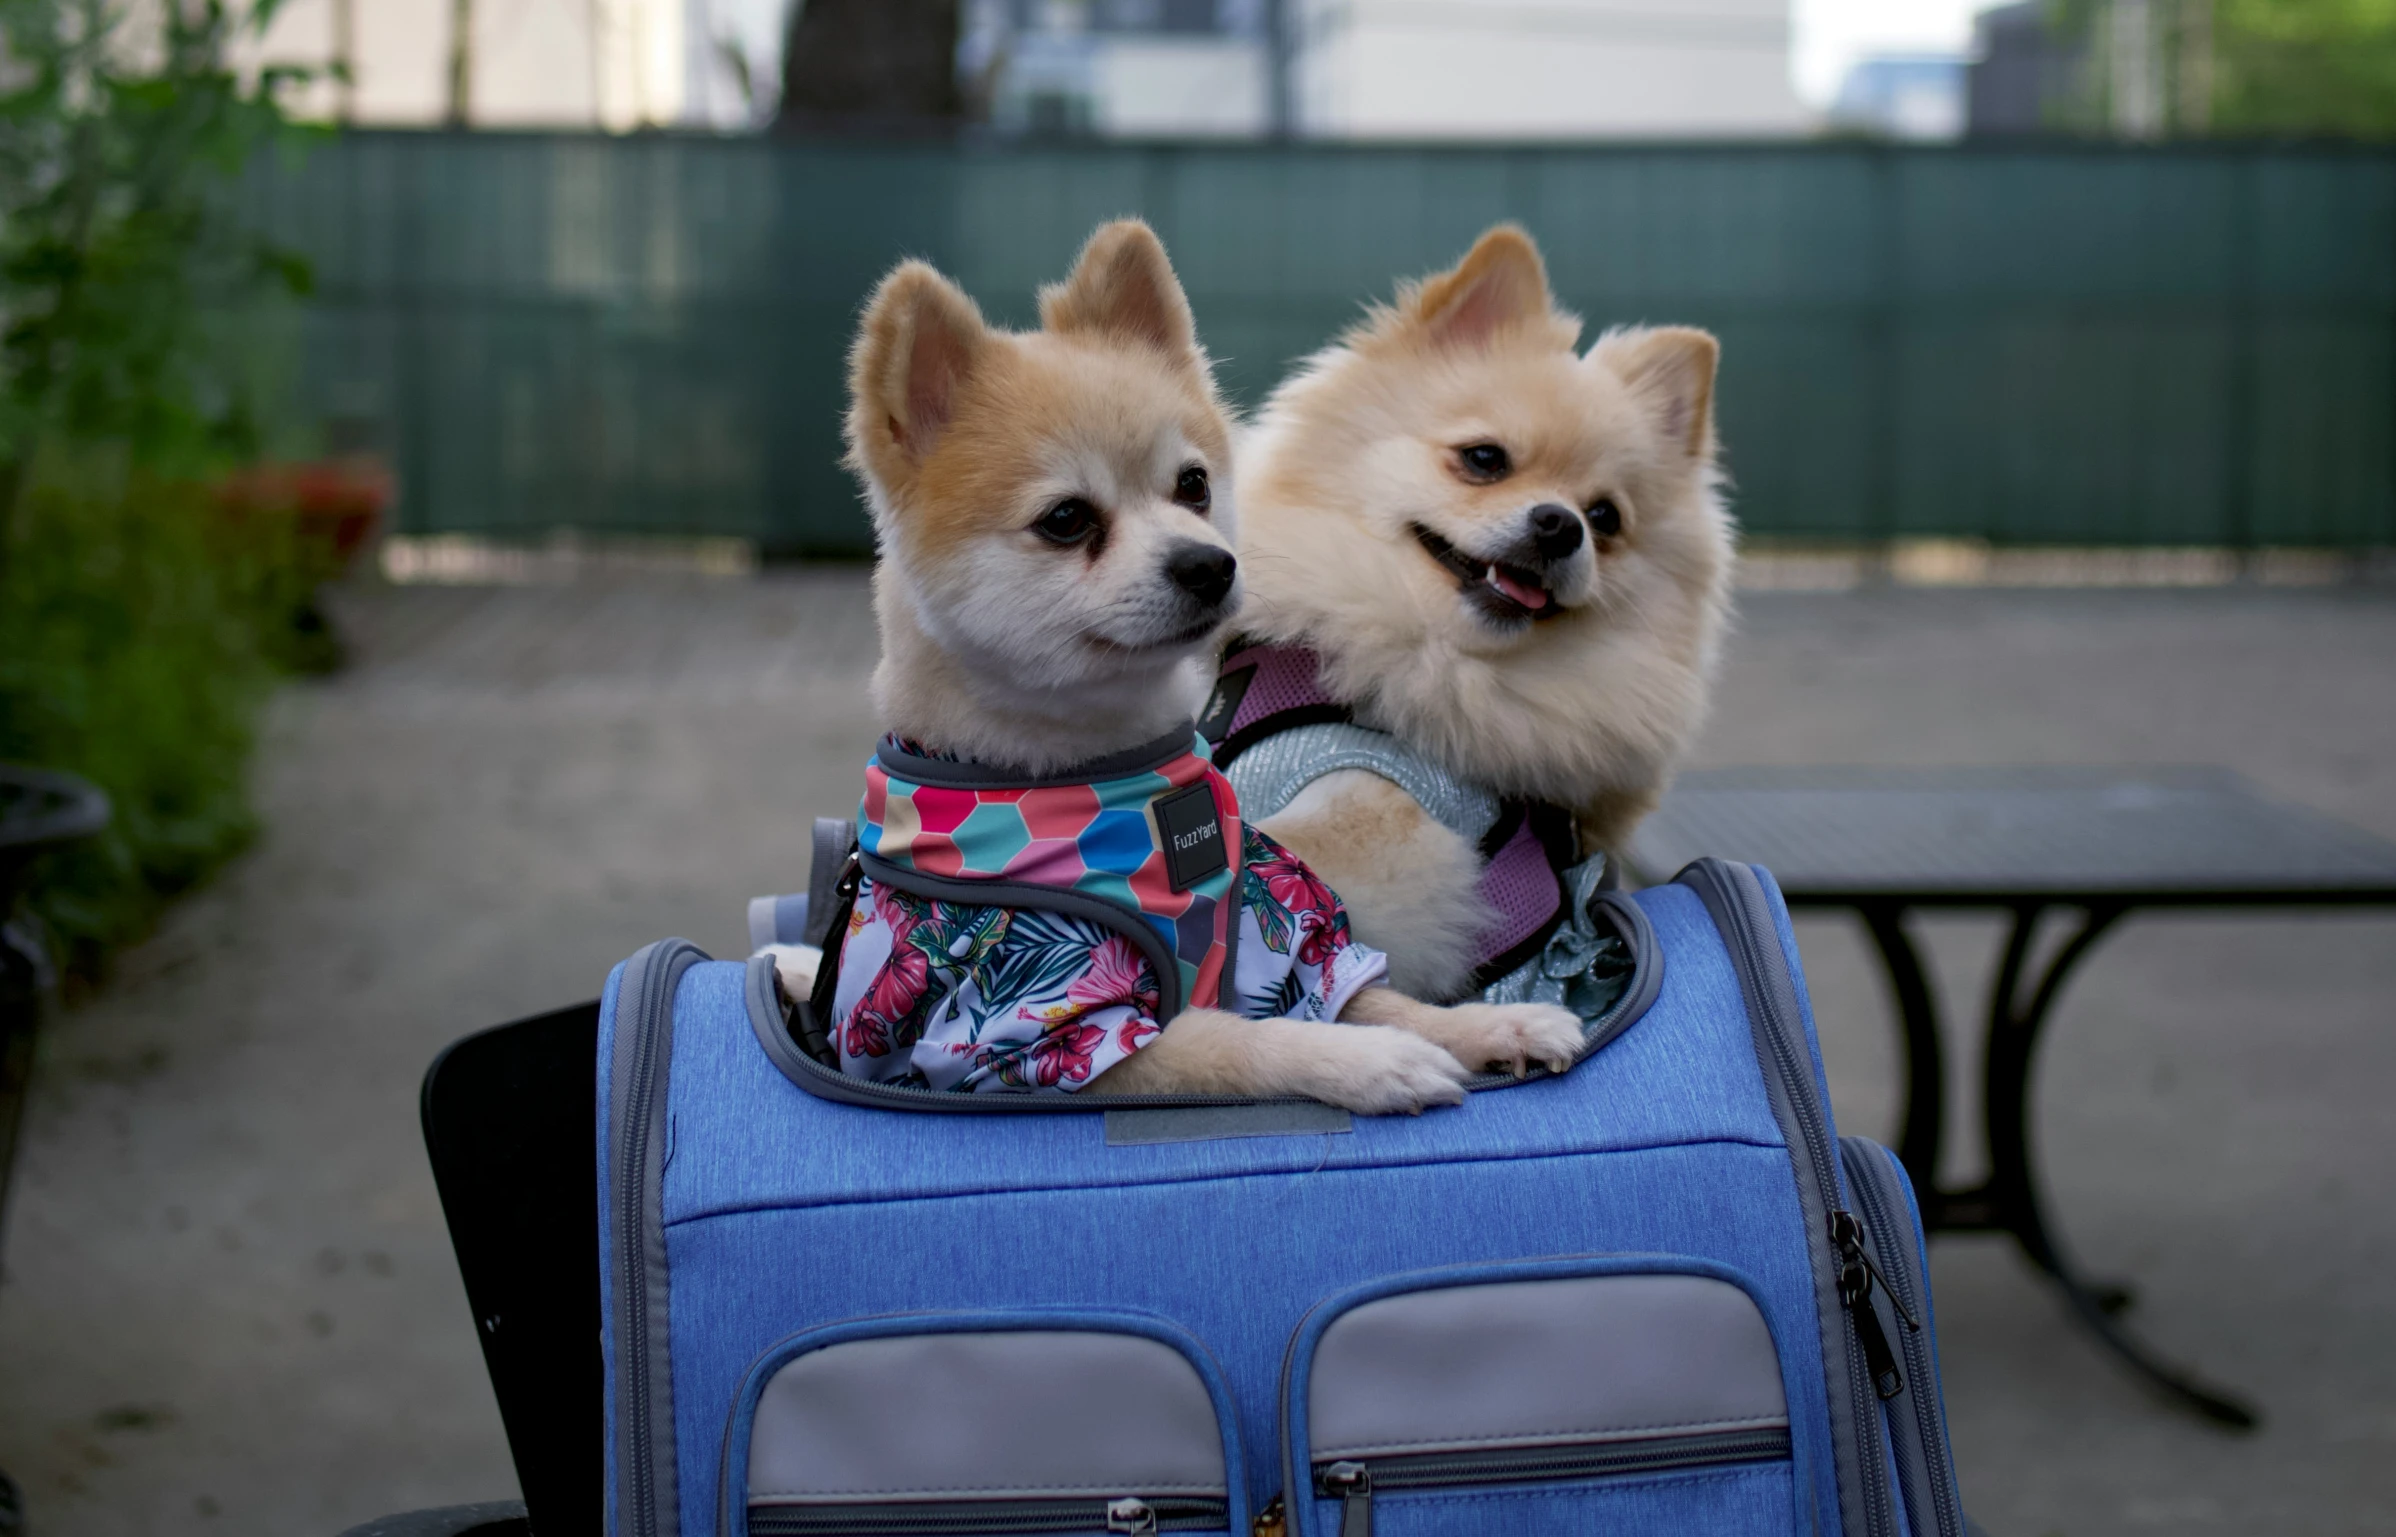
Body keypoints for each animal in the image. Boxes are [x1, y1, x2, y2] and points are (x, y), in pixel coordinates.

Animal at [771, 221, 1590, 1107]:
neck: (1113, 777)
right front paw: (1375, 1063)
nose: (1210, 564)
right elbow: (1247, 1040)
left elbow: (1377, 995)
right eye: (1067, 519)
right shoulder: (1035, 1032)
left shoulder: (1275, 927)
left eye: (1193, 485)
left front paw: (1493, 1026)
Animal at [1226, 221, 1734, 1002]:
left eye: (1605, 518)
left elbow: (1286, 873)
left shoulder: (1385, 829)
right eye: (1485, 458)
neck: (1430, 656)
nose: (1561, 525)